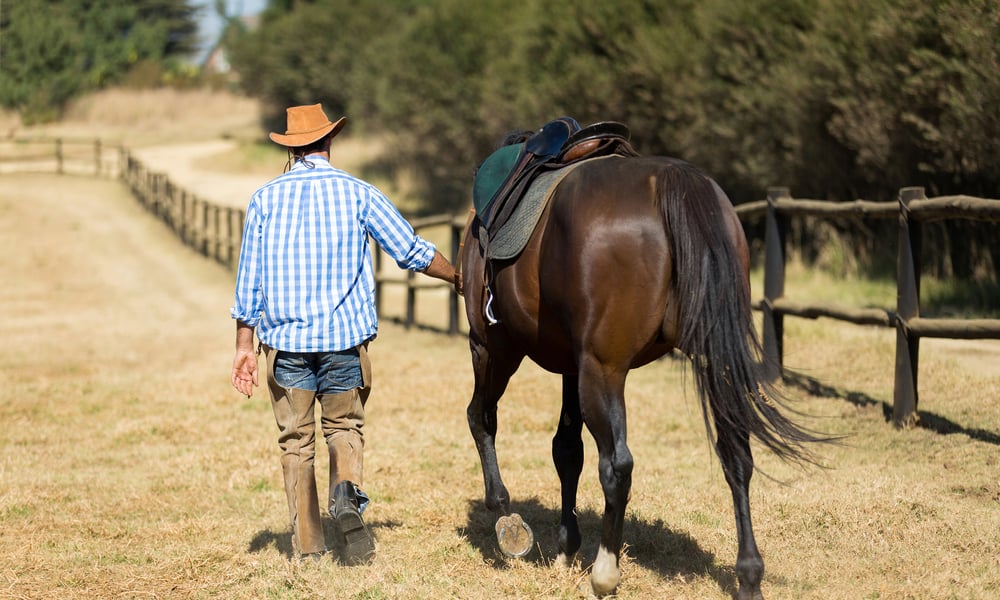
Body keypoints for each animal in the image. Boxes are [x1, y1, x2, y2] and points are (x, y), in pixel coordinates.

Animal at [460, 137, 822, 599]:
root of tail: (671, 181)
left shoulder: (496, 347)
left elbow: (486, 420)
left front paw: (508, 518)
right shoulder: (571, 365)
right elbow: (567, 450)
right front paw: (565, 547)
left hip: (591, 368)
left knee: (615, 464)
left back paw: (604, 572)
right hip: (709, 363)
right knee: (737, 454)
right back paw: (749, 575)